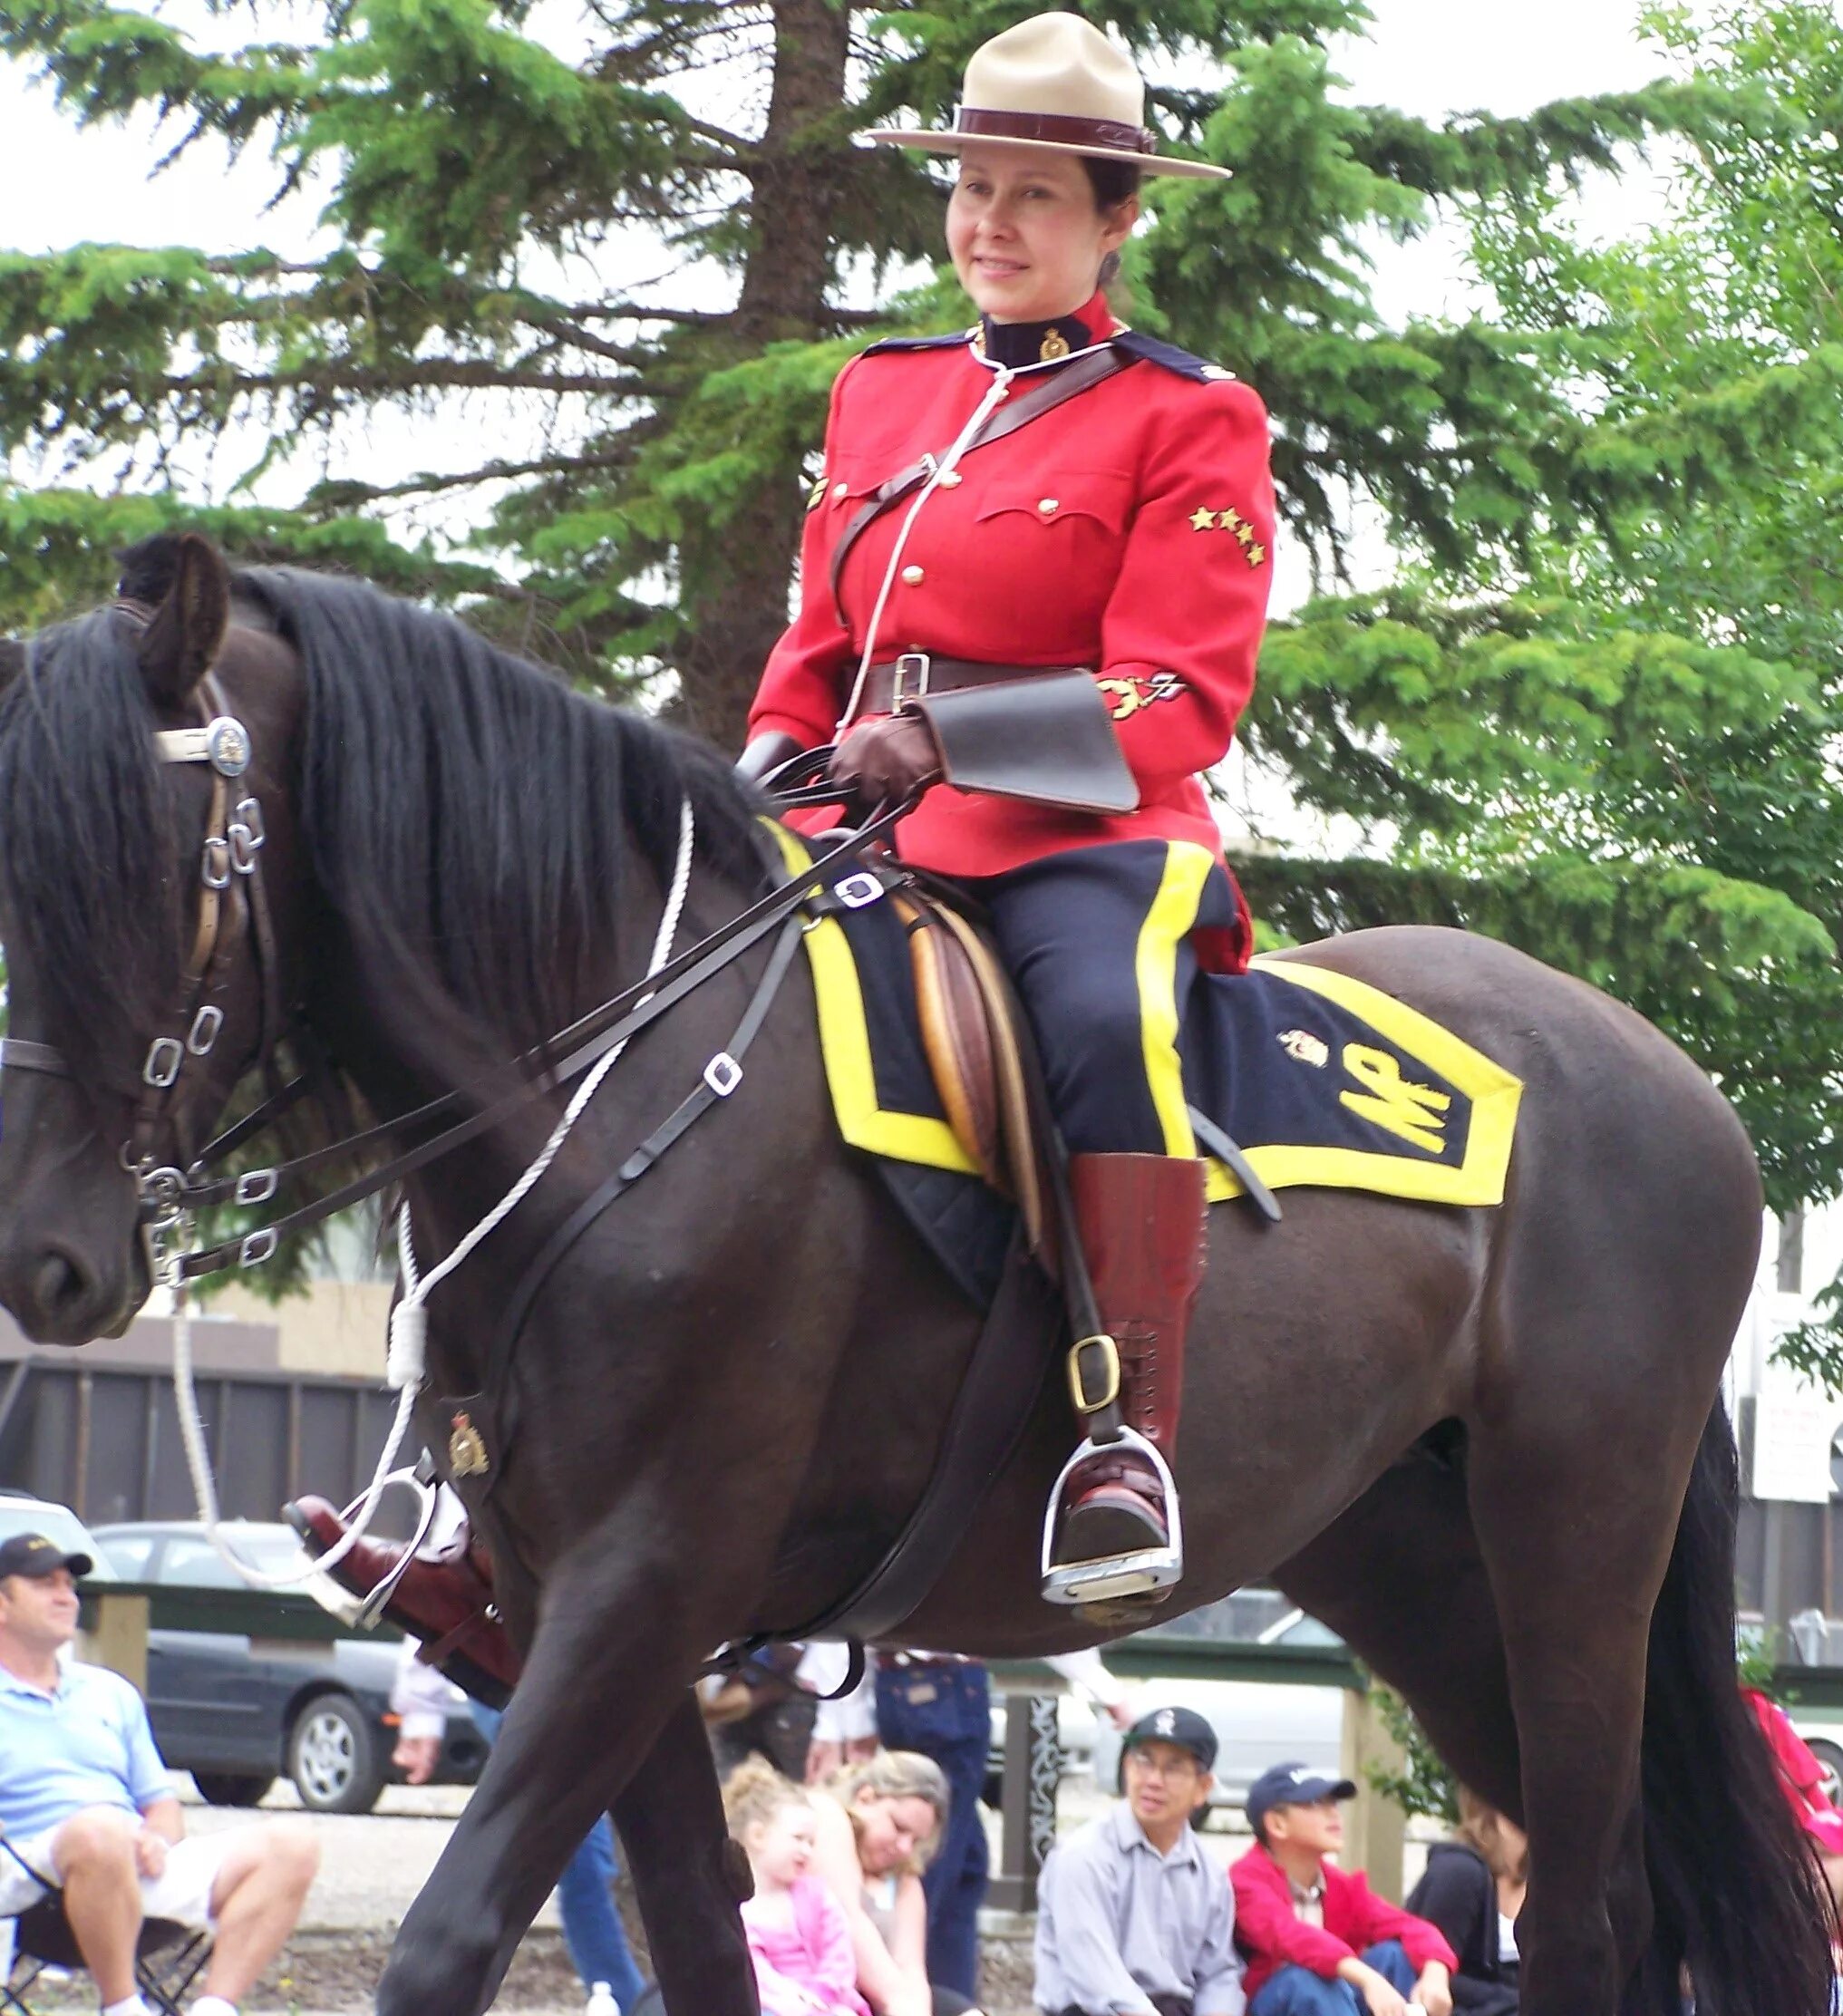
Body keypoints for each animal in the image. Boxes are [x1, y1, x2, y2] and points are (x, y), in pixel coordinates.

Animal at [0, 536, 1814, 2016]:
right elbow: (703, 1936)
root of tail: (1669, 1079)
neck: (620, 1094)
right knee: (1621, 1892)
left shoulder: (644, 1583)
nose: (46, 1254)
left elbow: (449, 1943)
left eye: (150, 870)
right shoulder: (581, 1598)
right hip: (1410, 1562)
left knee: (1583, 1906)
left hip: (1572, 1535)